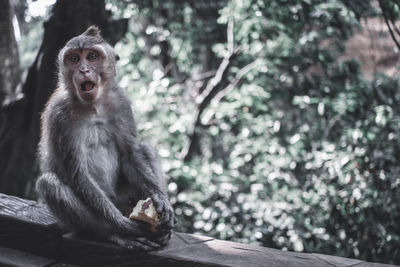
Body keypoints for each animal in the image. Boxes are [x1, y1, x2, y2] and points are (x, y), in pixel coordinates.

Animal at [36, 26, 174, 252]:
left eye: (92, 57)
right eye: (74, 59)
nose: (84, 70)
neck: (93, 106)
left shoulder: (121, 103)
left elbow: (130, 155)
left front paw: (160, 199)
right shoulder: (59, 114)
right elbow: (78, 175)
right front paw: (126, 227)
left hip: (123, 197)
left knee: (145, 149)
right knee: (49, 184)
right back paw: (113, 234)